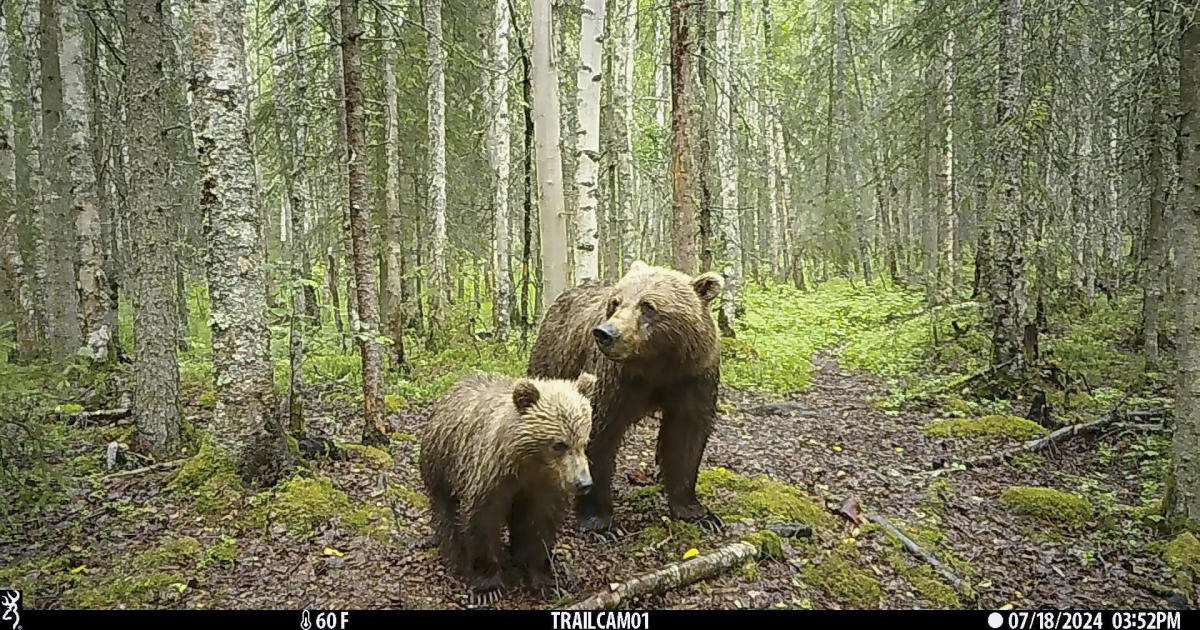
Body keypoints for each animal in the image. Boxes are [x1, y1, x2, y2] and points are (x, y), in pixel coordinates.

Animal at [528, 258, 720, 532]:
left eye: (648, 306)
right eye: (615, 302)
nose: (605, 333)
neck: (657, 367)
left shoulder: (693, 376)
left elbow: (687, 436)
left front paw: (696, 511)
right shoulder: (614, 380)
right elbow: (598, 433)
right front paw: (598, 521)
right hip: (554, 359)